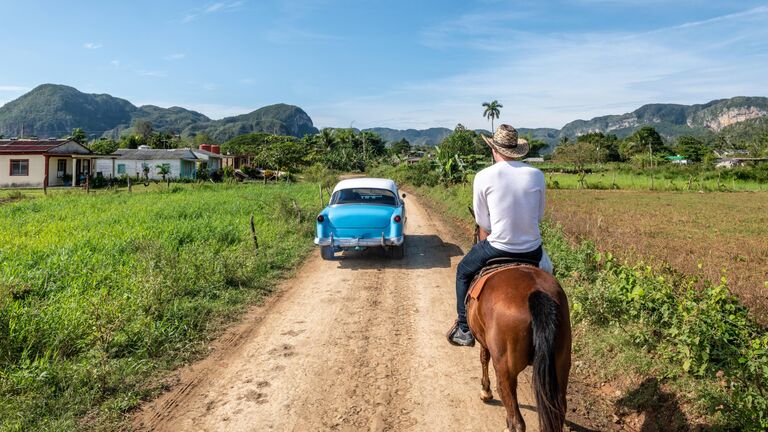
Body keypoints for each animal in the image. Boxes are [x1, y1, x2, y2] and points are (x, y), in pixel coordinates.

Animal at [464, 213, 572, 432]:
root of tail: (536, 293)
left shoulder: (484, 342)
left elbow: (483, 358)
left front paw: (485, 391)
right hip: (561, 364)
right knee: (558, 412)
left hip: (506, 368)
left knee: (517, 419)